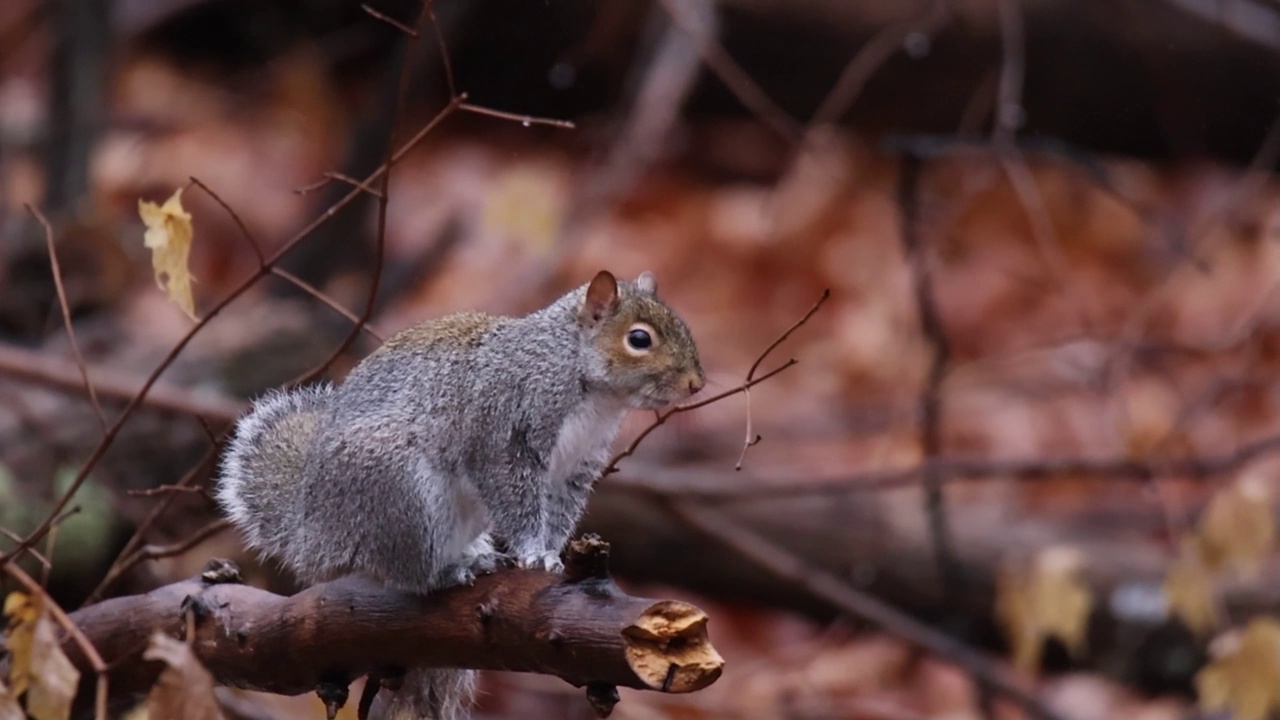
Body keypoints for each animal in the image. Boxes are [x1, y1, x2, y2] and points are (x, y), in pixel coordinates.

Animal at [215, 269, 706, 717]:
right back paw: (448, 571)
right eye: (639, 339)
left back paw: (477, 556)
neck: (577, 376)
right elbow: (515, 497)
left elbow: (560, 514)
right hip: (406, 498)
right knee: (408, 572)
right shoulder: (503, 436)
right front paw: (536, 555)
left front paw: (555, 555)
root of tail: (319, 528)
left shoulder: (576, 469)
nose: (696, 384)